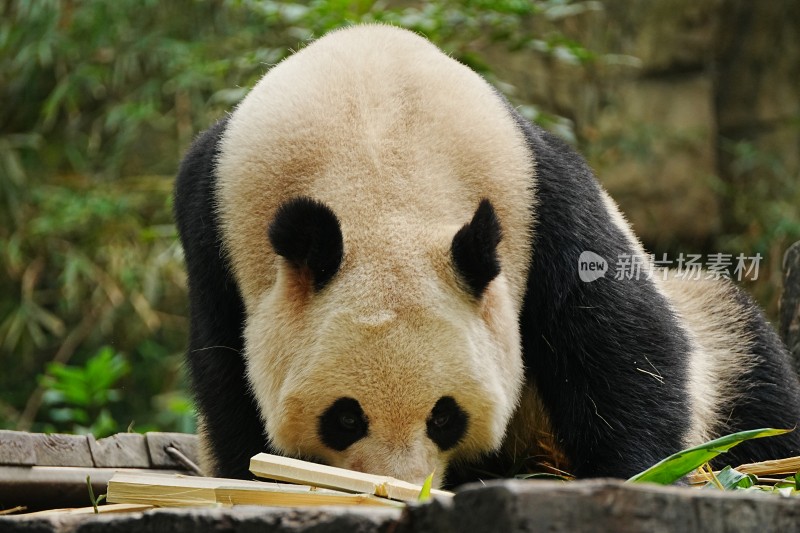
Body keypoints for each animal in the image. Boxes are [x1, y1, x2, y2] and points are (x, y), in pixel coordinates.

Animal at [173, 22, 800, 484]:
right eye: (345, 417)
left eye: (444, 416)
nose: (406, 485)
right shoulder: (212, 222)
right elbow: (226, 376)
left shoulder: (541, 195)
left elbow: (618, 343)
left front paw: (638, 472)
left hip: (710, 331)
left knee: (754, 384)